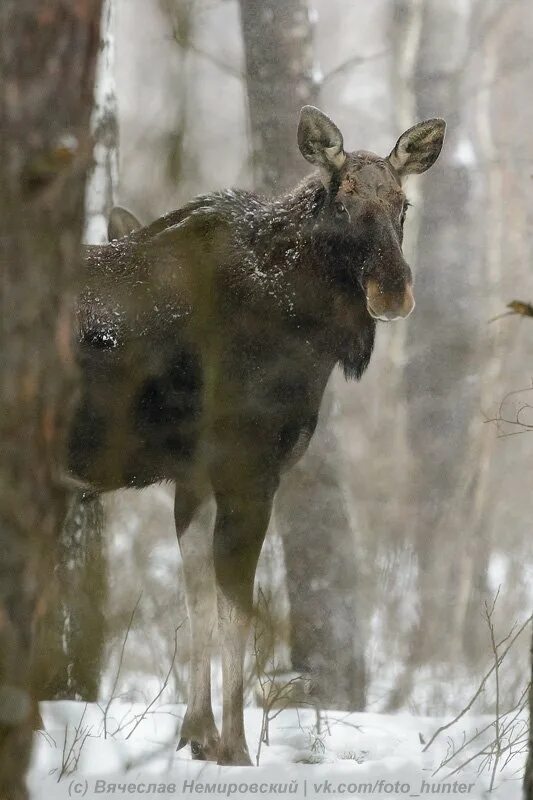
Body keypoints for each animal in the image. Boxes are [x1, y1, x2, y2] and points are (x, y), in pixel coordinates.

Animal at [69, 106, 444, 764]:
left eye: (403, 203)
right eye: (343, 199)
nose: (394, 290)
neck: (307, 334)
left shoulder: (192, 478)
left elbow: (198, 600)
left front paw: (197, 737)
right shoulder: (249, 469)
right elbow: (238, 615)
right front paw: (237, 751)